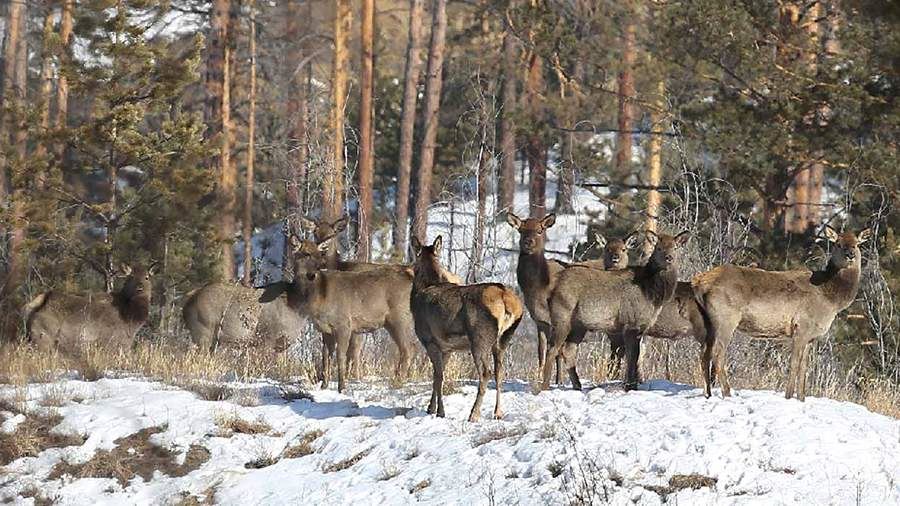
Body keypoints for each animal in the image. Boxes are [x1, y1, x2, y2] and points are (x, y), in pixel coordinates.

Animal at [412, 235, 524, 422]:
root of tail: (507, 300)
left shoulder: (430, 340)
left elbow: (439, 376)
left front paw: (439, 411)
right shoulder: (447, 348)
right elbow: (437, 376)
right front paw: (430, 408)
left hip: (479, 338)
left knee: (486, 373)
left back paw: (474, 414)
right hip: (503, 339)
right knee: (499, 372)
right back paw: (498, 412)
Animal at [540, 231, 688, 394]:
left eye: (675, 247)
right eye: (659, 248)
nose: (669, 258)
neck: (653, 293)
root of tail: (552, 290)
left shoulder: (639, 328)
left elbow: (631, 357)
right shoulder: (631, 323)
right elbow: (632, 357)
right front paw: (631, 386)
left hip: (579, 325)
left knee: (568, 350)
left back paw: (577, 386)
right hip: (562, 316)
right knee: (552, 349)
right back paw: (544, 387)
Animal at [688, 227, 872, 402]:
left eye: (856, 244)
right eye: (838, 244)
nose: (850, 255)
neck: (831, 300)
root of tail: (698, 282)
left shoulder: (811, 337)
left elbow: (804, 368)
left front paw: (801, 399)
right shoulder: (802, 327)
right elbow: (794, 364)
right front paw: (789, 396)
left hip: (708, 322)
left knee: (704, 354)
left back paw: (708, 394)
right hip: (726, 319)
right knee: (717, 354)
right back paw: (727, 393)